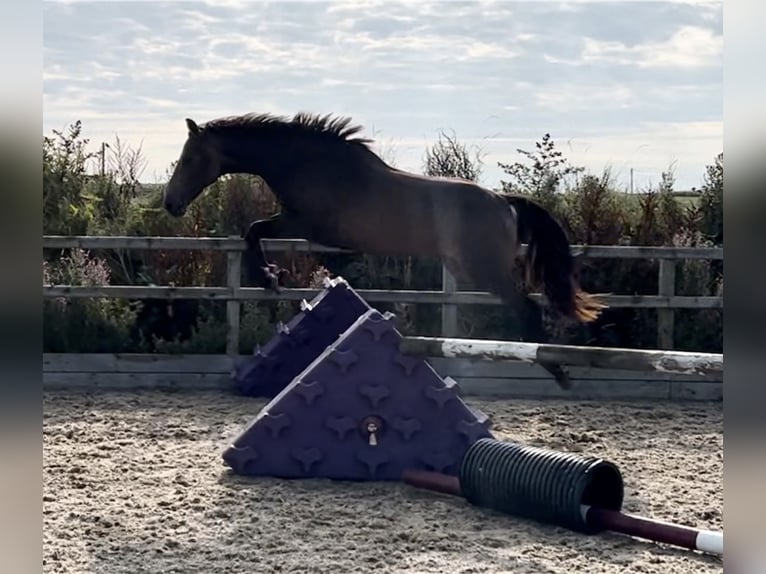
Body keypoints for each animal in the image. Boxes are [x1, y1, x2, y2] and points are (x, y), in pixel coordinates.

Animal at [162, 111, 608, 392]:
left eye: (190, 158)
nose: (170, 204)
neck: (305, 161)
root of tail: (504, 202)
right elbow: (257, 234)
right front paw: (279, 279)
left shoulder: (307, 225)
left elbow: (253, 231)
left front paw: (270, 278)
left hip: (483, 271)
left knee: (527, 309)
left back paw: (554, 369)